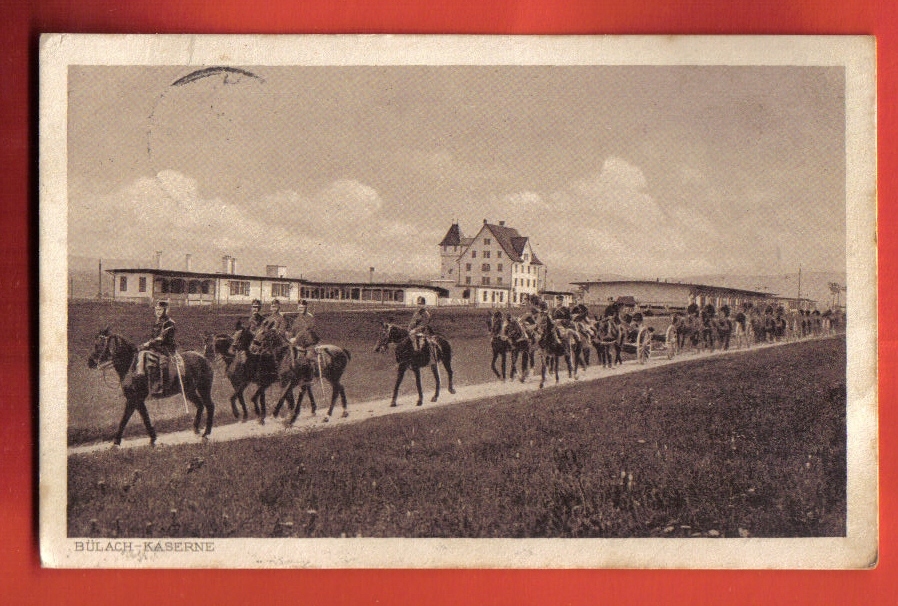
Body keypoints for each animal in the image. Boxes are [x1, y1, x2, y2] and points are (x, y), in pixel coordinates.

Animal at [87, 328, 217, 446]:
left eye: (99, 344)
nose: (90, 362)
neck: (131, 366)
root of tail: (204, 358)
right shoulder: (135, 400)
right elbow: (140, 417)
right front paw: (151, 438)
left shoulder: (134, 399)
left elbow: (128, 419)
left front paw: (117, 442)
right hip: (189, 391)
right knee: (200, 405)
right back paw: (196, 429)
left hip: (203, 389)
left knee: (209, 406)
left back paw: (206, 433)